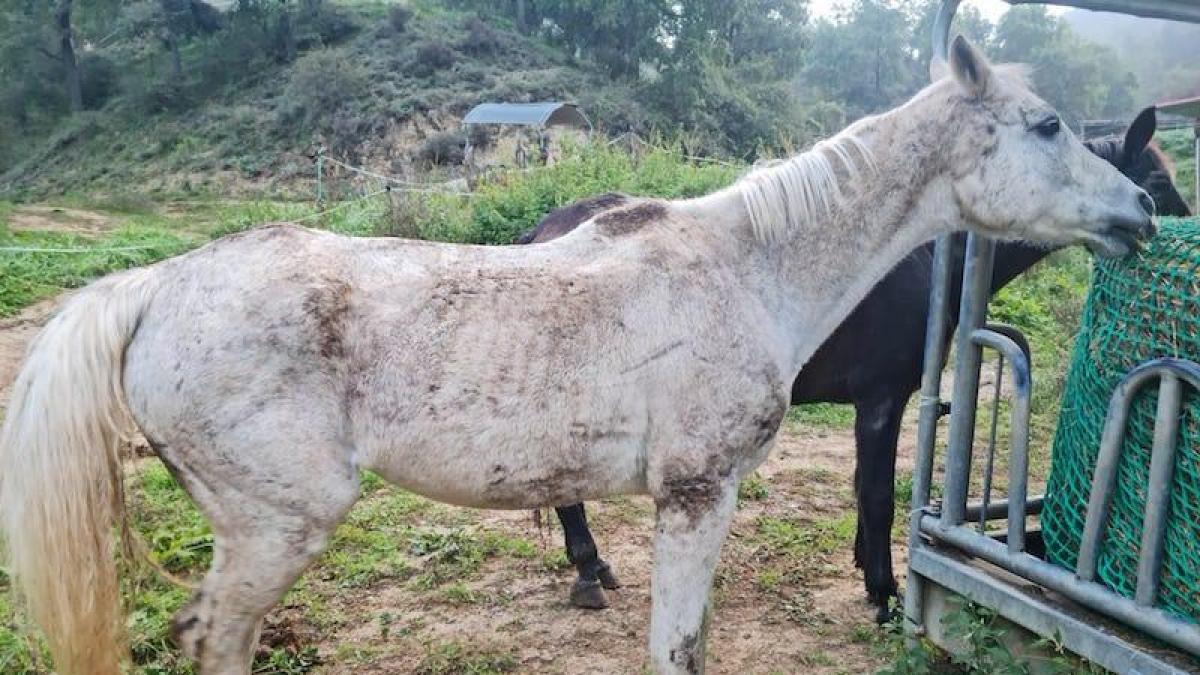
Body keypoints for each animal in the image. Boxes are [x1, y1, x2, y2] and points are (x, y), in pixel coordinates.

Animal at [525, 106, 1192, 621]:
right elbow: (877, 495)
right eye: (1158, 182)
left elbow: (864, 489)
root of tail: (541, 234)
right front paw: (885, 593)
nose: (1163, 228)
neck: (921, 260)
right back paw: (588, 569)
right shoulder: (882, 400)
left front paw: (866, 566)